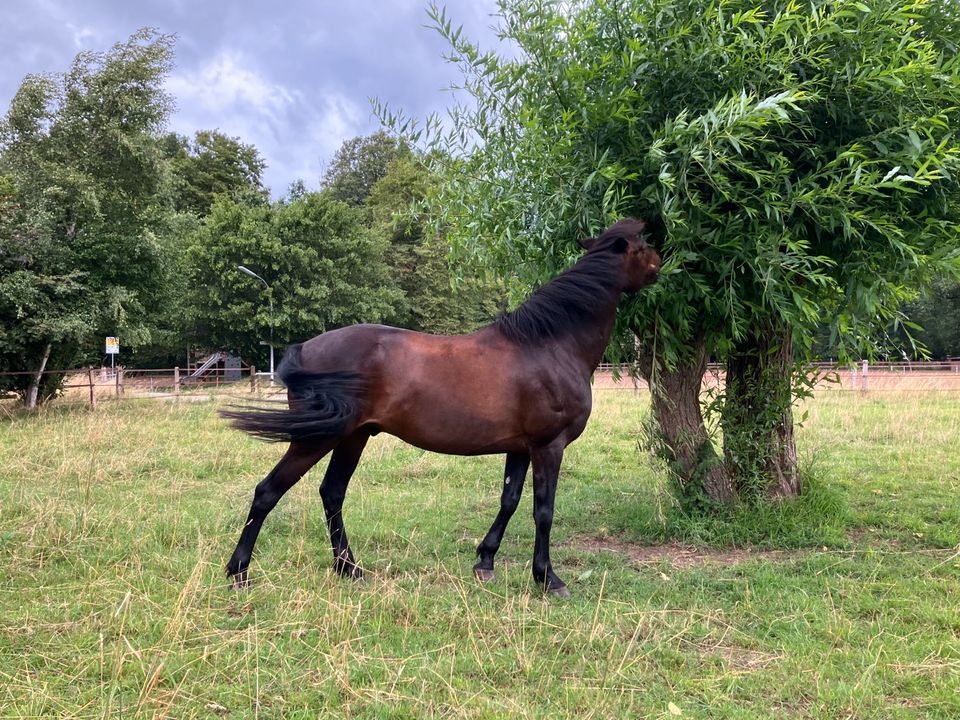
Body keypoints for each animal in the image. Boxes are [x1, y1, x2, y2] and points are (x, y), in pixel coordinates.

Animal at [224, 218, 660, 596]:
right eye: (641, 247)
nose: (660, 264)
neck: (550, 344)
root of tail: (305, 347)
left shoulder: (521, 448)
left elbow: (509, 500)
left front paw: (485, 561)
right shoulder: (548, 447)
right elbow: (543, 511)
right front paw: (547, 578)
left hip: (352, 437)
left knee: (331, 493)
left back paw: (349, 568)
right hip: (318, 438)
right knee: (268, 491)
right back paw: (239, 572)